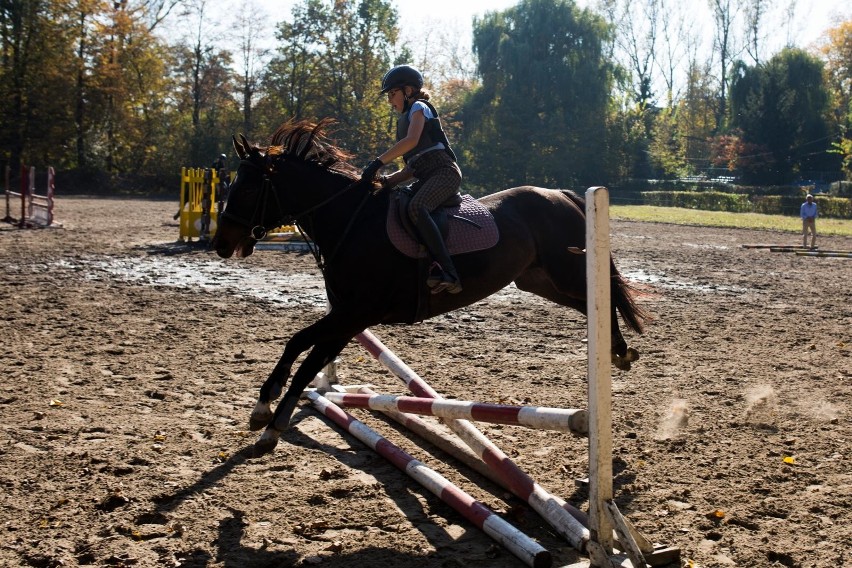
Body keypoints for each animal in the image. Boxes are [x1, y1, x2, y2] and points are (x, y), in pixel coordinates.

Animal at [210, 117, 644, 454]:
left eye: (247, 188)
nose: (221, 244)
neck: (351, 221)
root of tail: (562, 194)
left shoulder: (354, 315)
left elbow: (305, 357)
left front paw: (270, 423)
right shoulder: (346, 318)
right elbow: (301, 349)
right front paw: (266, 409)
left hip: (564, 272)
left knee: (604, 298)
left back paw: (619, 351)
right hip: (538, 281)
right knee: (591, 305)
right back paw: (617, 351)